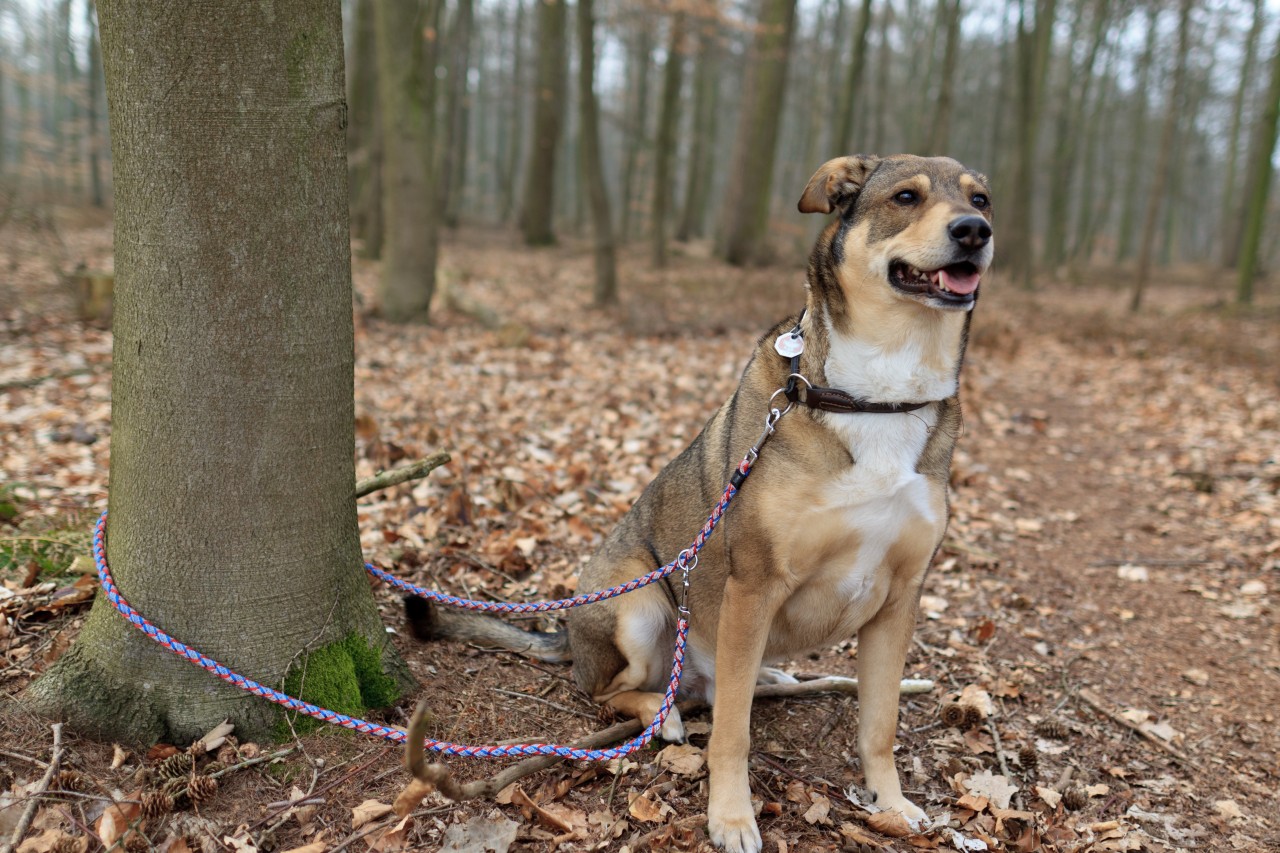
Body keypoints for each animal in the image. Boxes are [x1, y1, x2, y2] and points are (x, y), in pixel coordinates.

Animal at [404, 154, 993, 850]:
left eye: (981, 199)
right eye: (906, 197)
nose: (974, 232)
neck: (880, 396)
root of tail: (566, 630)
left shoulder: (899, 600)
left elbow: (880, 725)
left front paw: (893, 805)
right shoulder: (753, 586)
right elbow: (732, 734)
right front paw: (731, 817)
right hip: (638, 605)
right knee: (615, 691)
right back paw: (661, 716)